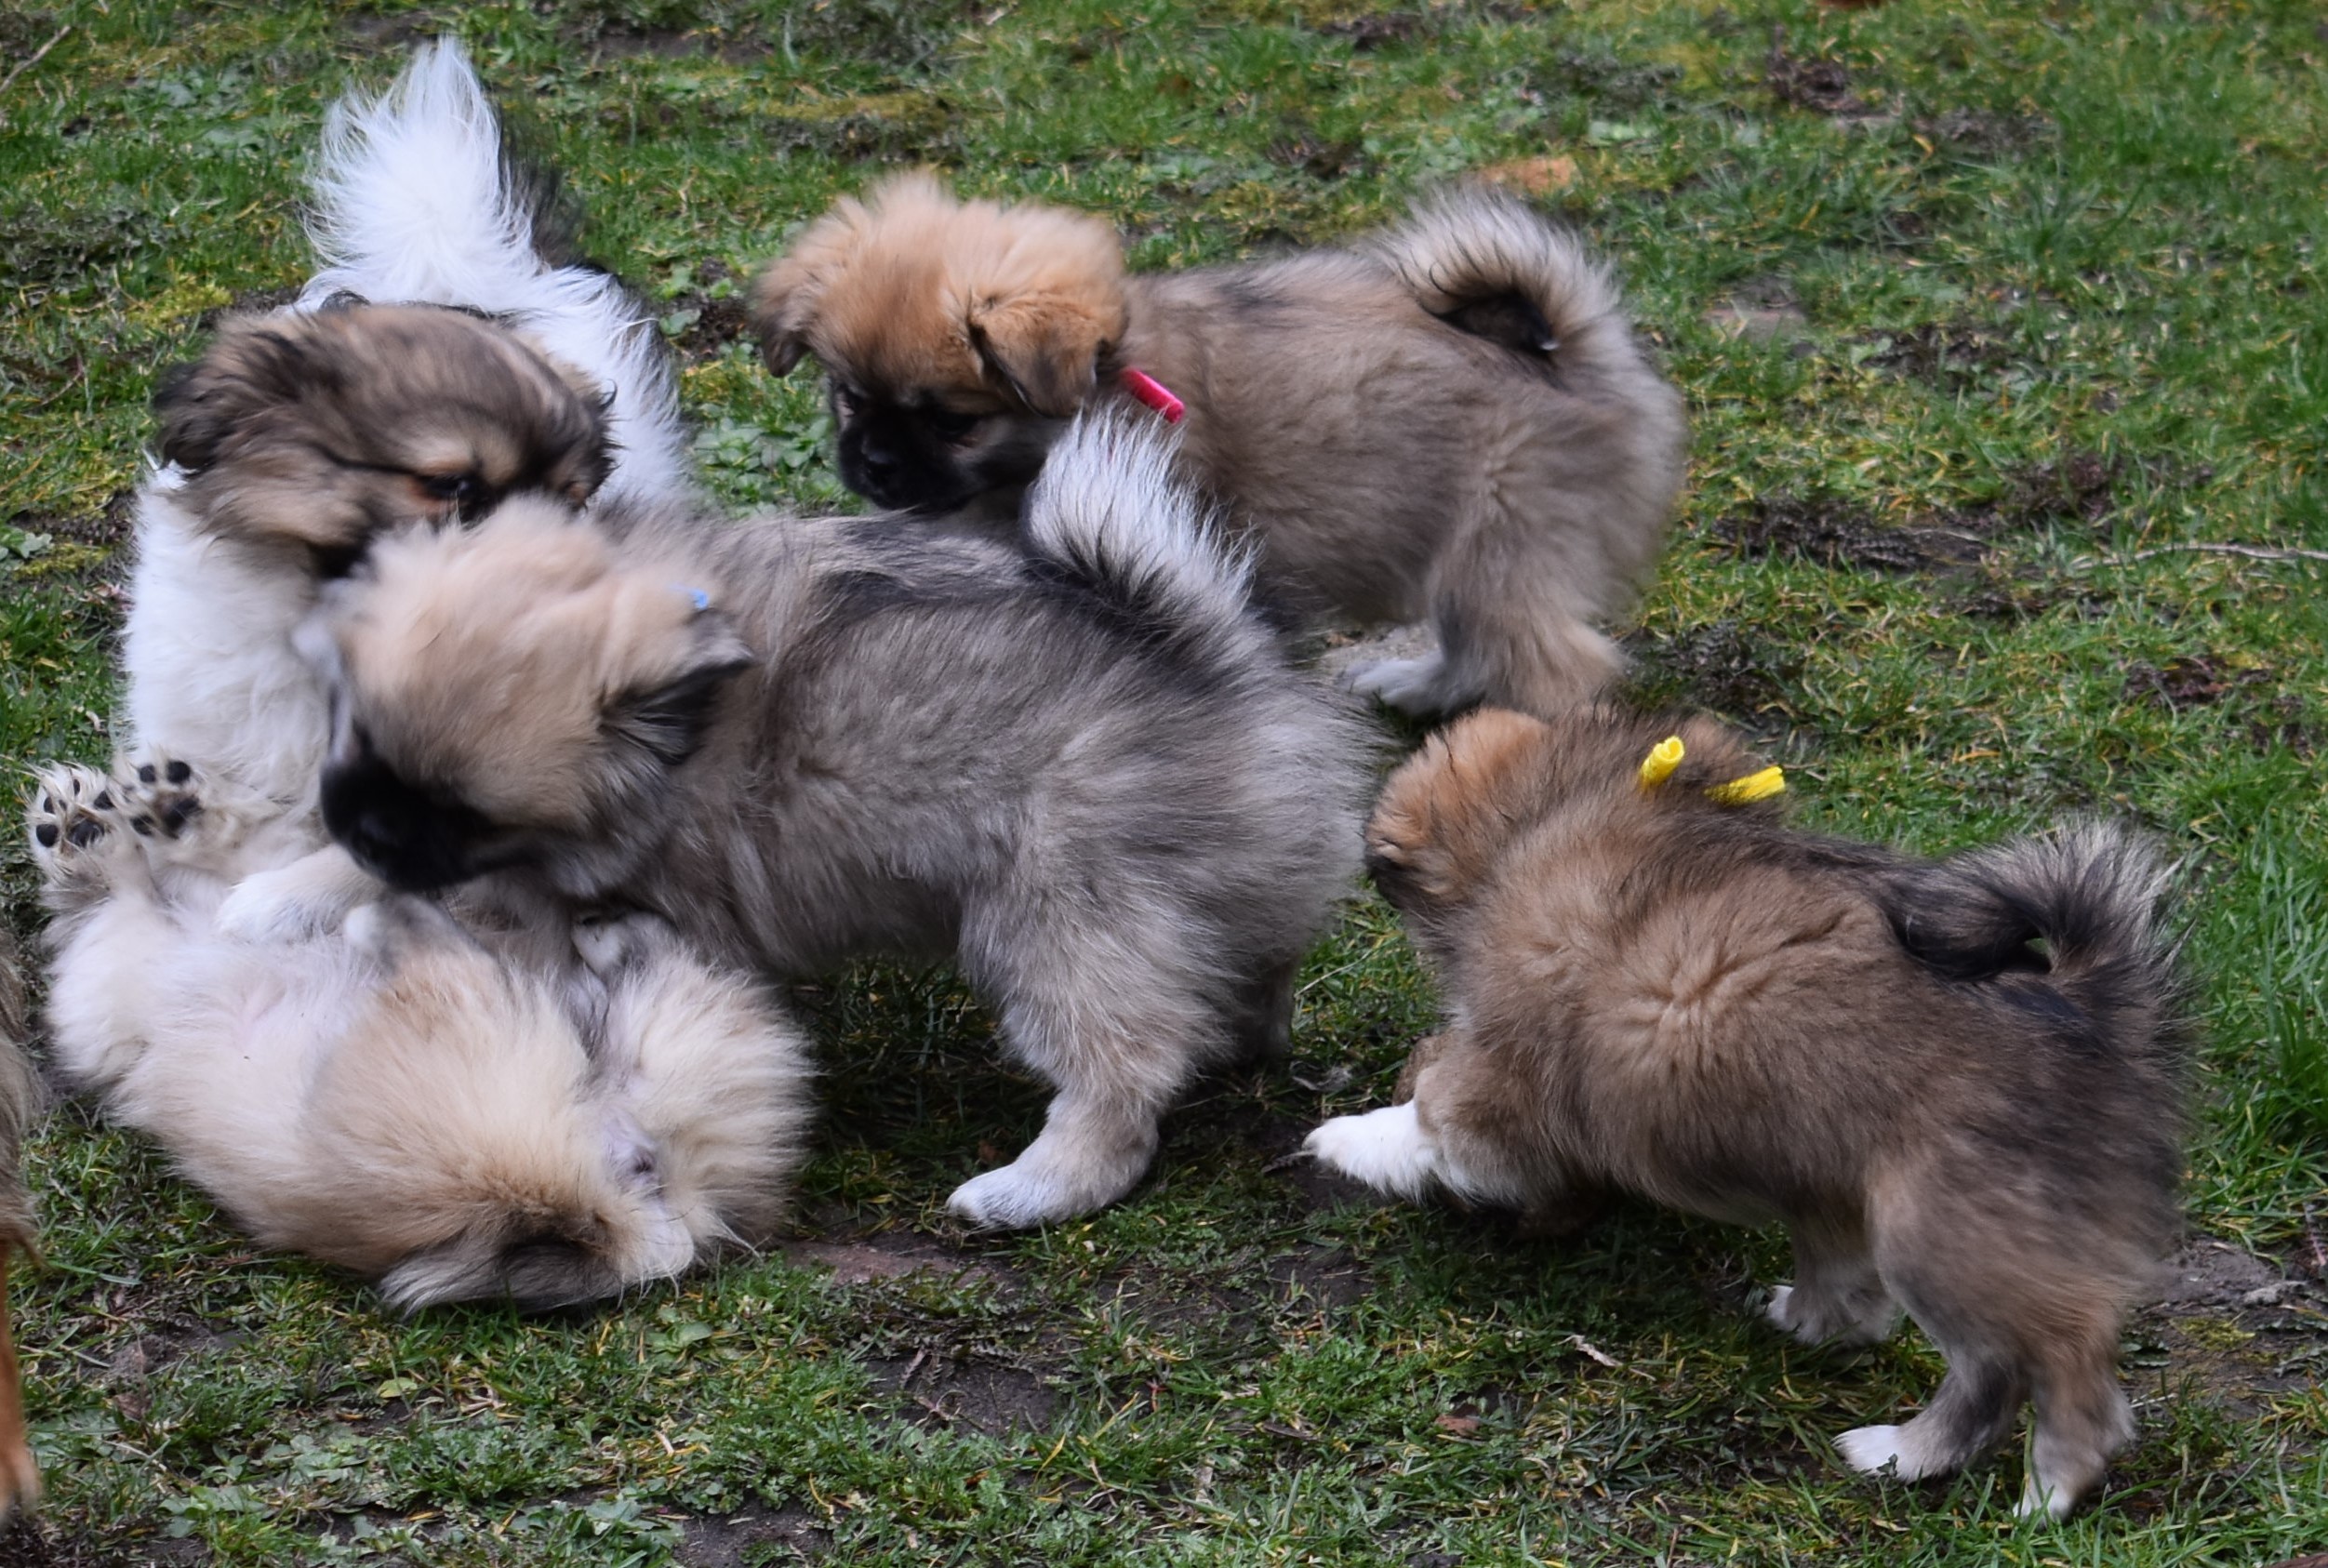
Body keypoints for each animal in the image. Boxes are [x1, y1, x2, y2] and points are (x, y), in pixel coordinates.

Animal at [302, 420, 1368, 1228]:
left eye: (457, 808)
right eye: (355, 734)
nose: (355, 823)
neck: (677, 744)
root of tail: (1212, 663)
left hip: (1060, 913)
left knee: (1122, 1069)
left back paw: (1029, 1189)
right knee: (1246, 978)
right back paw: (1235, 1042)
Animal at [753, 172, 1685, 716]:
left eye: (953, 421)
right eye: (847, 396)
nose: (873, 466)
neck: (1106, 384)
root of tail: (1575, 363)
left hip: (1494, 550)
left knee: (1554, 666)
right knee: (1476, 649)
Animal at [1312, 707, 2178, 1516]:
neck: (1543, 812)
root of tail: (2089, 1002)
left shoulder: (1505, 1075)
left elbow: (1430, 1112)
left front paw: (1344, 1141)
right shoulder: (1822, 1178)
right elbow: (1841, 1277)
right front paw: (1817, 1319)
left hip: (1941, 1234)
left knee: (2045, 1373)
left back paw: (2013, 1484)